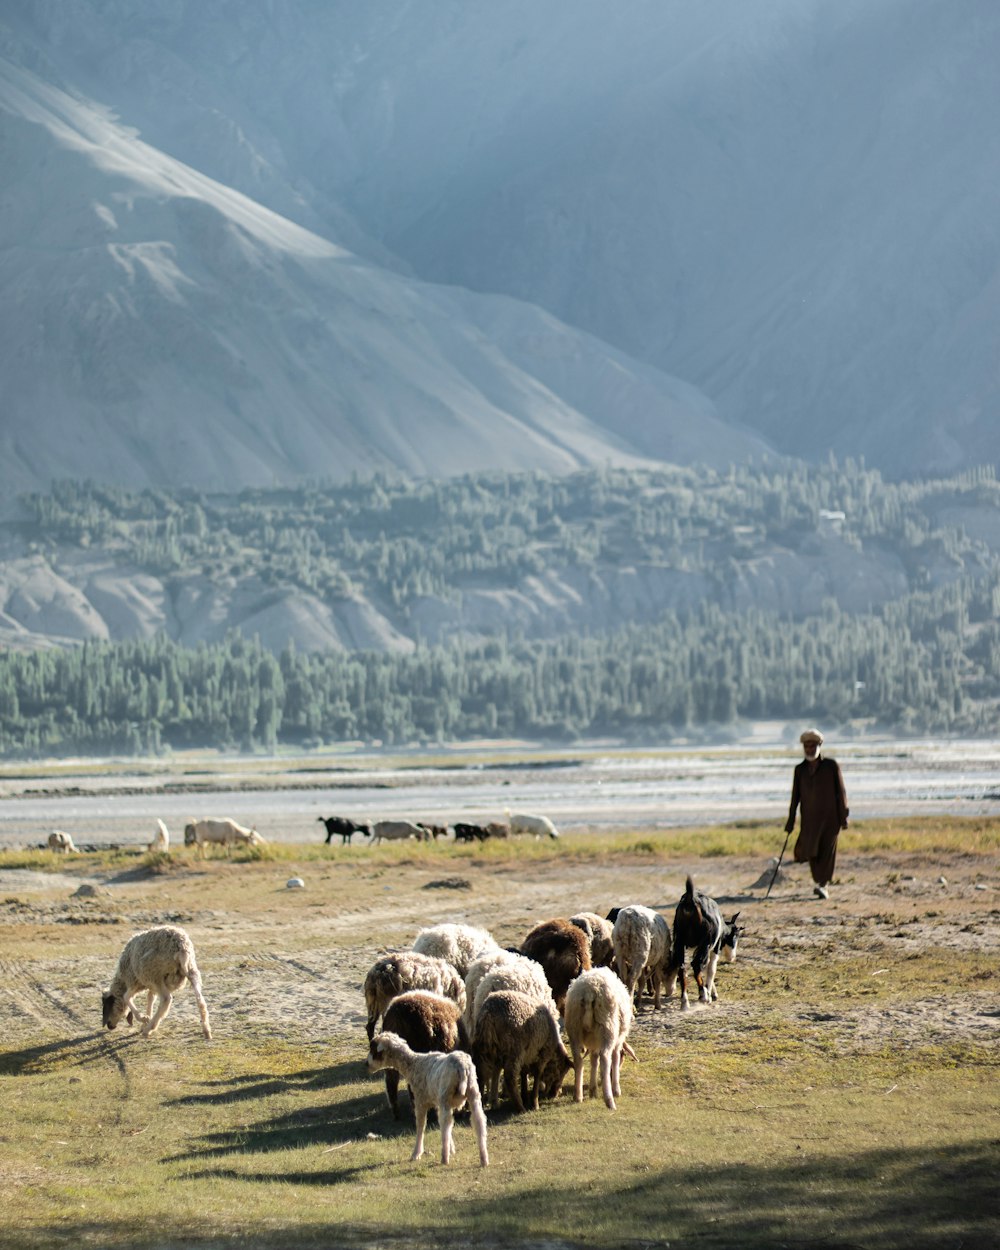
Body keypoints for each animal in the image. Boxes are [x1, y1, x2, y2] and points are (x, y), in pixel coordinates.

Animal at [370, 1030, 490, 1165]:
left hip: (445, 1096)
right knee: (479, 1121)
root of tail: (462, 1066)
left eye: (373, 1049)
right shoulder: (436, 1101)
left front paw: (416, 1153)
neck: (413, 1065)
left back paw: (444, 1158)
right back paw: (484, 1159)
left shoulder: (420, 1101)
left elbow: (421, 1126)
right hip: (473, 1093)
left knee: (446, 1123)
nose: (366, 1064)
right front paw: (452, 1149)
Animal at [567, 960, 637, 1110]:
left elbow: (594, 1060)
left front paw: (593, 1090)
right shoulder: (618, 1041)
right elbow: (615, 1058)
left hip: (574, 1027)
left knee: (578, 1059)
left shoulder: (593, 1043)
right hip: (608, 1028)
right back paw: (609, 1099)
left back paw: (578, 1096)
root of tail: (589, 992)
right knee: (605, 1058)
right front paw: (616, 1089)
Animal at [665, 875, 740, 1010]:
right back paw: (703, 996)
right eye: (736, 935)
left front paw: (712, 993)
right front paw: (709, 994)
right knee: (696, 965)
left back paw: (685, 1002)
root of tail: (690, 899)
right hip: (705, 943)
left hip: (680, 941)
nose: (732, 958)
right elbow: (711, 969)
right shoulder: (714, 948)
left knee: (682, 967)